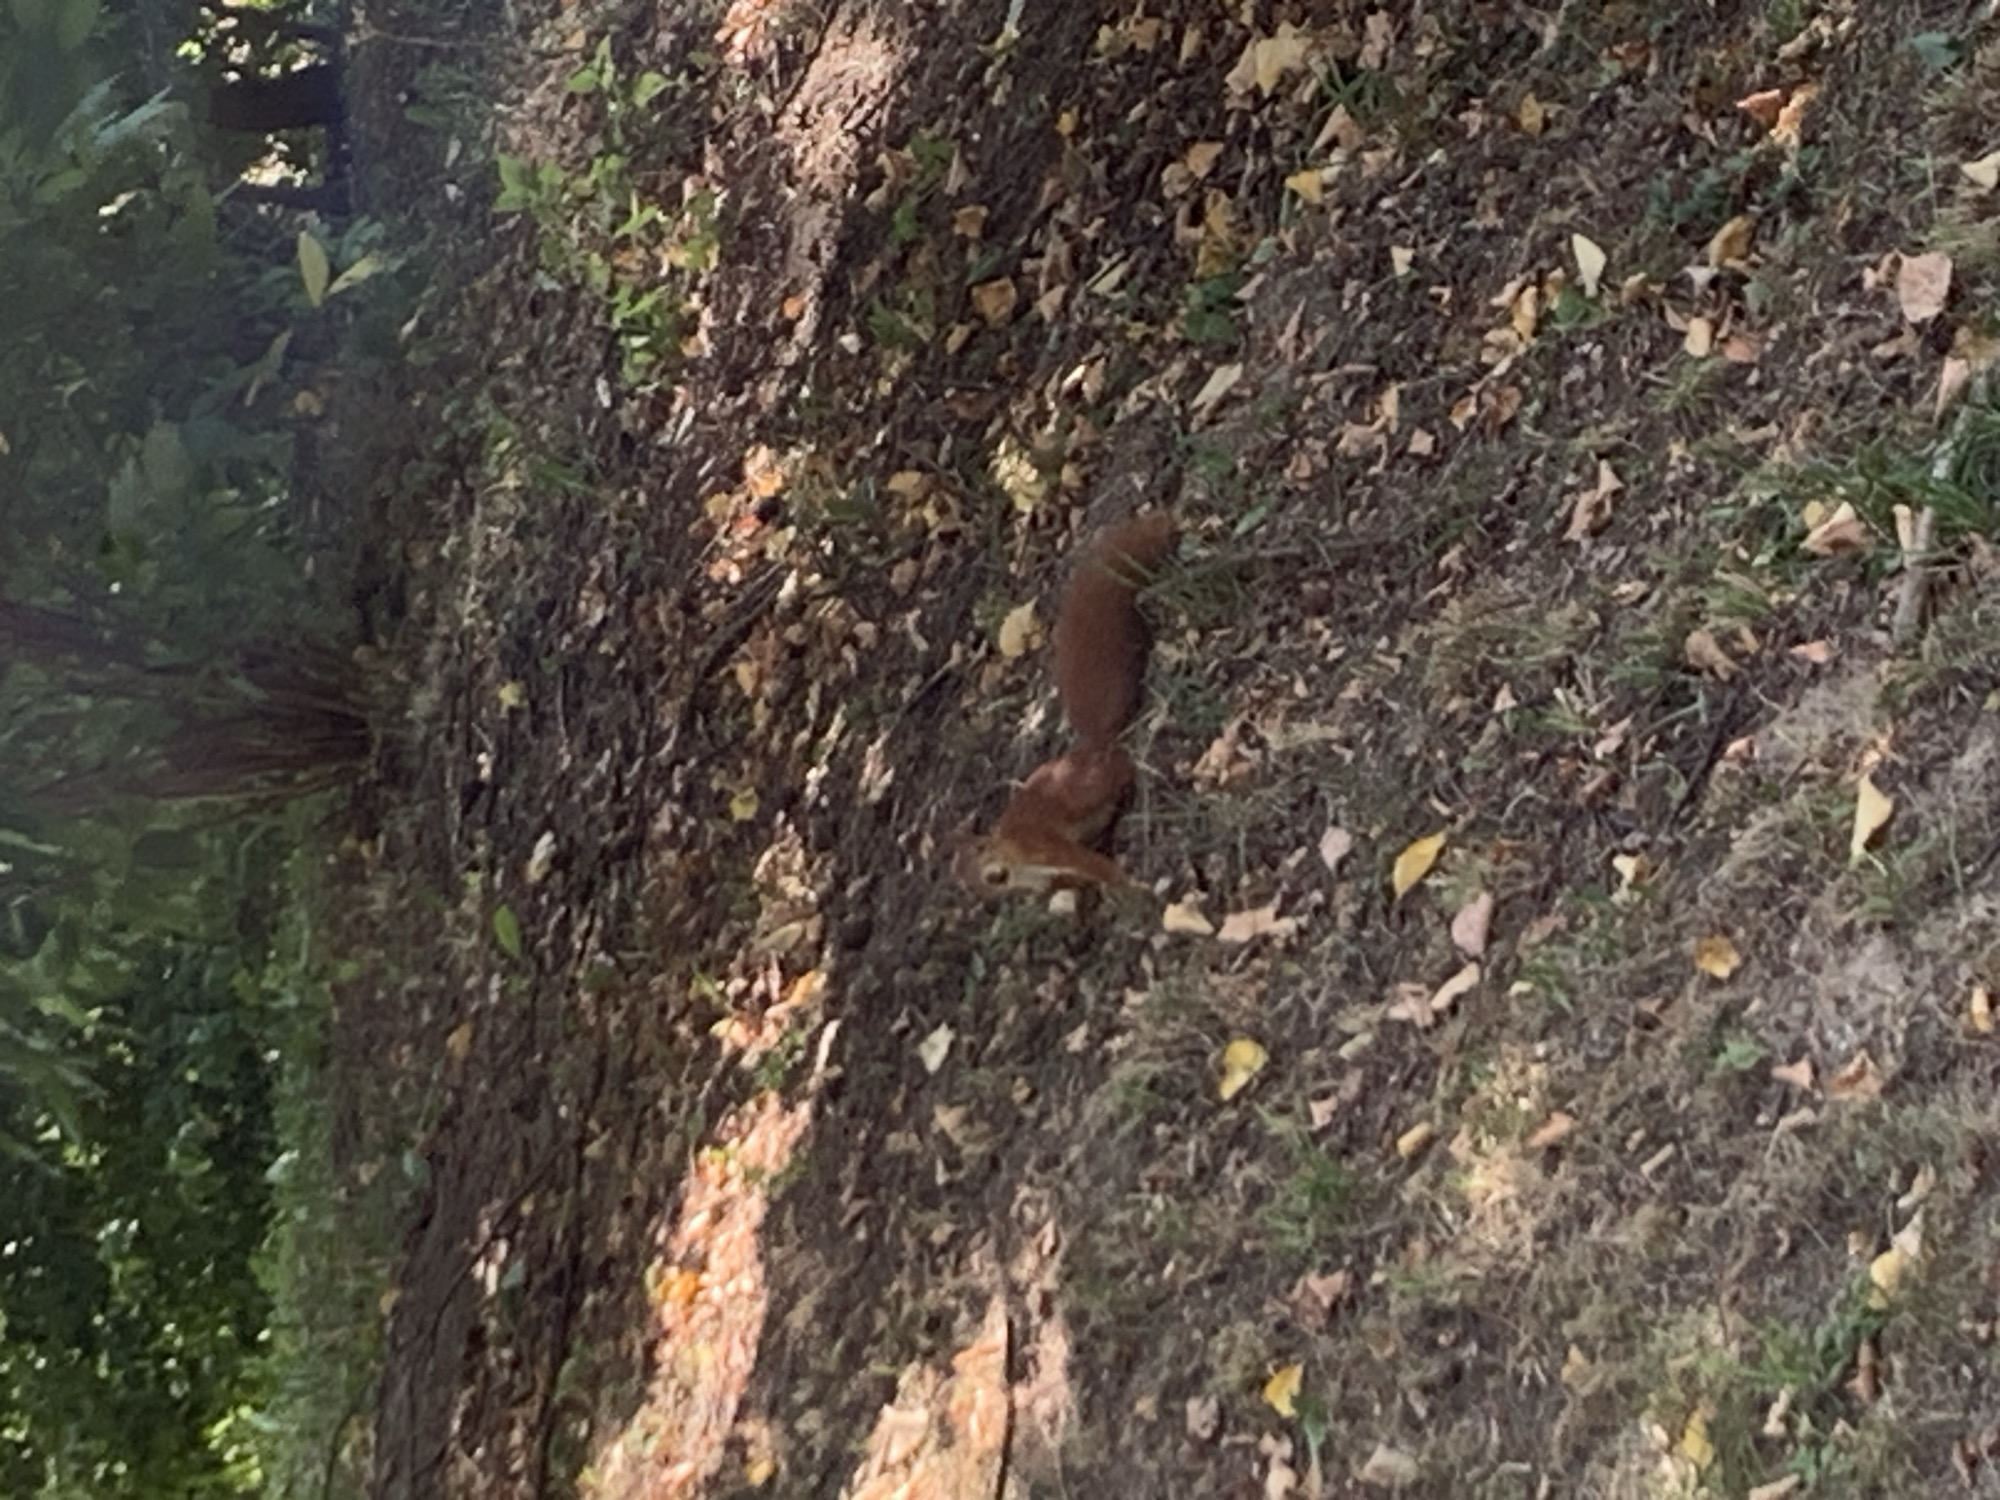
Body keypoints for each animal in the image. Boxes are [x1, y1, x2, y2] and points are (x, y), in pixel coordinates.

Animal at [965, 513, 1175, 894]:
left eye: (982, 857)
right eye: (965, 881)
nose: (988, 886)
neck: (1019, 867)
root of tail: (1092, 746)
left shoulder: (1041, 846)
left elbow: (1086, 863)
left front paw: (1128, 884)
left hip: (1089, 788)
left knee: (1120, 771)